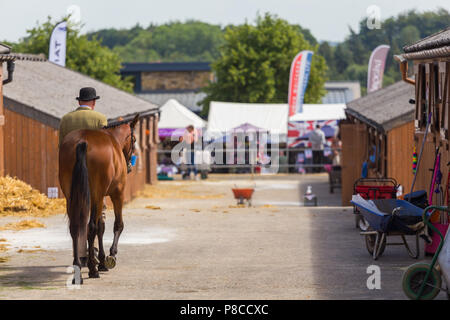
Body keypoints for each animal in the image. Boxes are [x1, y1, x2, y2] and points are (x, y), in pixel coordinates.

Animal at [59, 114, 139, 282]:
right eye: (134, 140)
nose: (129, 166)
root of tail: (82, 141)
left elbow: (101, 227)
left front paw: (101, 261)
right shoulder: (117, 194)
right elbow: (117, 225)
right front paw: (110, 256)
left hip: (72, 197)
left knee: (76, 227)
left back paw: (79, 267)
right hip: (97, 194)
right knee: (91, 227)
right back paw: (92, 270)